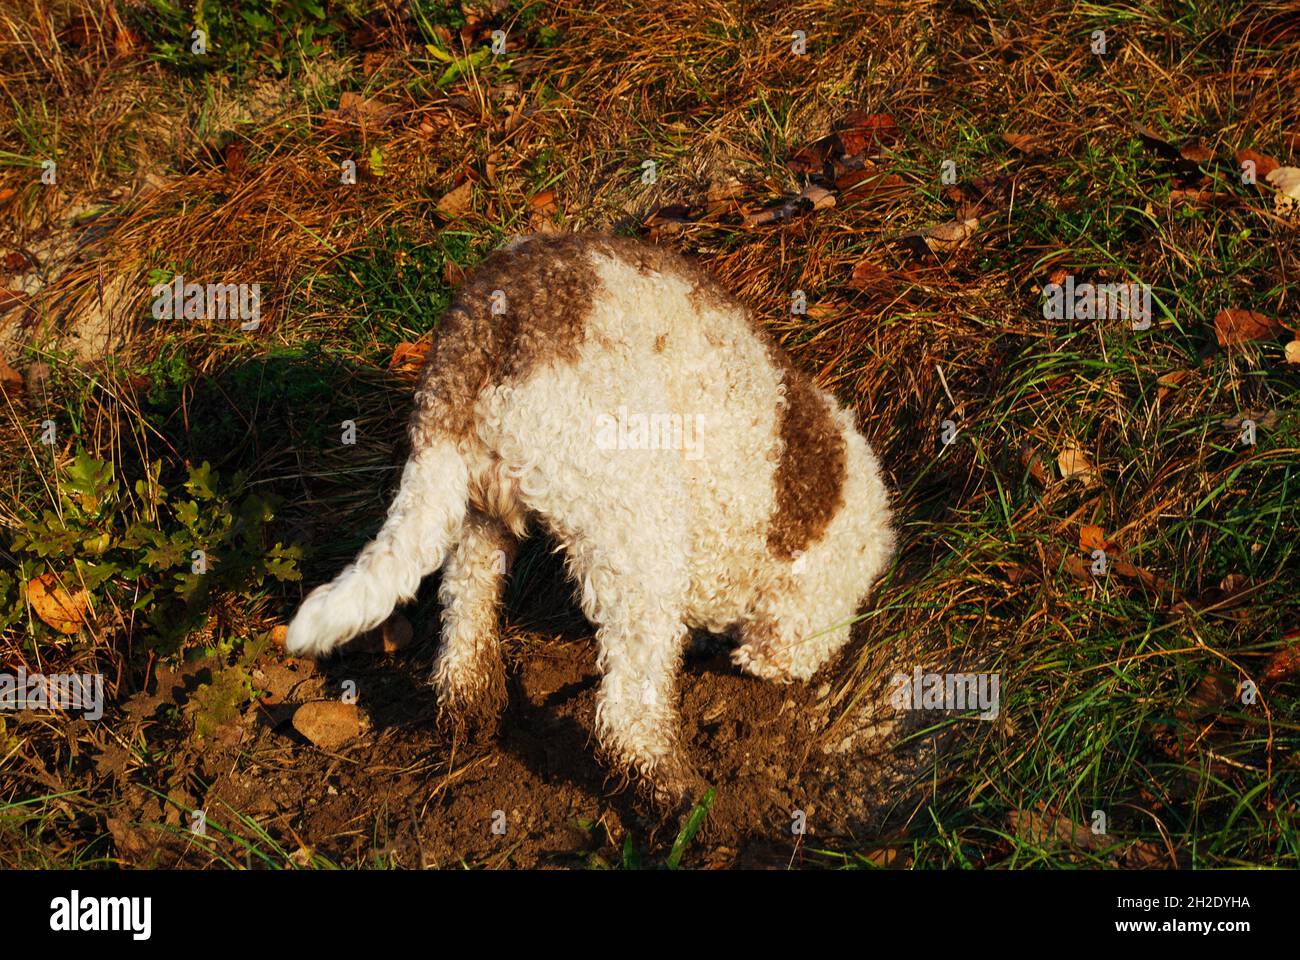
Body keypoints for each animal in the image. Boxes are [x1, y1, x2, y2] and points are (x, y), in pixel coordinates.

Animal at [284, 231, 894, 806]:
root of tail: (483, 333)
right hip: (634, 522)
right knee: (626, 712)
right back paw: (676, 795)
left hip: (477, 505)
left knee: (464, 608)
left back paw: (470, 710)